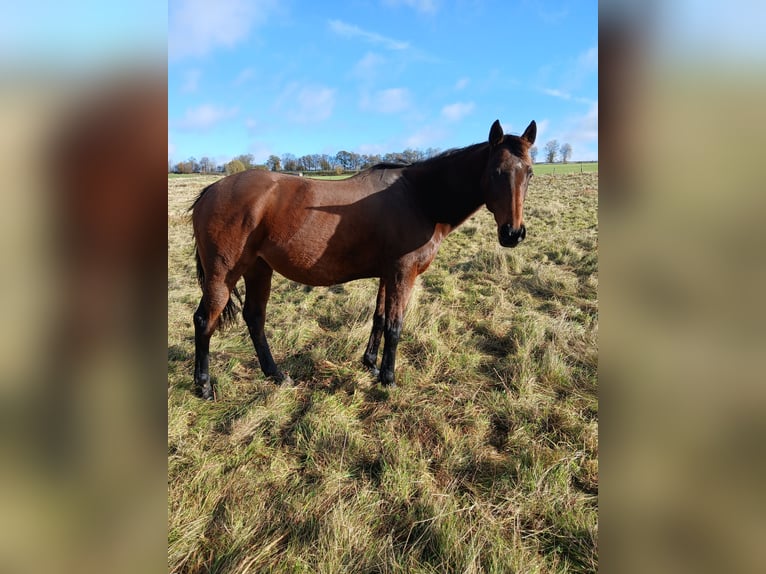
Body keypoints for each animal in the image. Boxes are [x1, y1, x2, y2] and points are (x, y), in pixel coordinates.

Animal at [190, 119, 536, 399]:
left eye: (529, 172)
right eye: (496, 172)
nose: (513, 233)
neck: (420, 197)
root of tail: (211, 190)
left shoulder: (387, 274)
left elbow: (380, 319)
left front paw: (370, 365)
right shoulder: (402, 274)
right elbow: (395, 325)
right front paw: (388, 379)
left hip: (258, 269)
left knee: (255, 317)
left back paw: (275, 374)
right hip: (223, 274)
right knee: (204, 320)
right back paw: (204, 385)